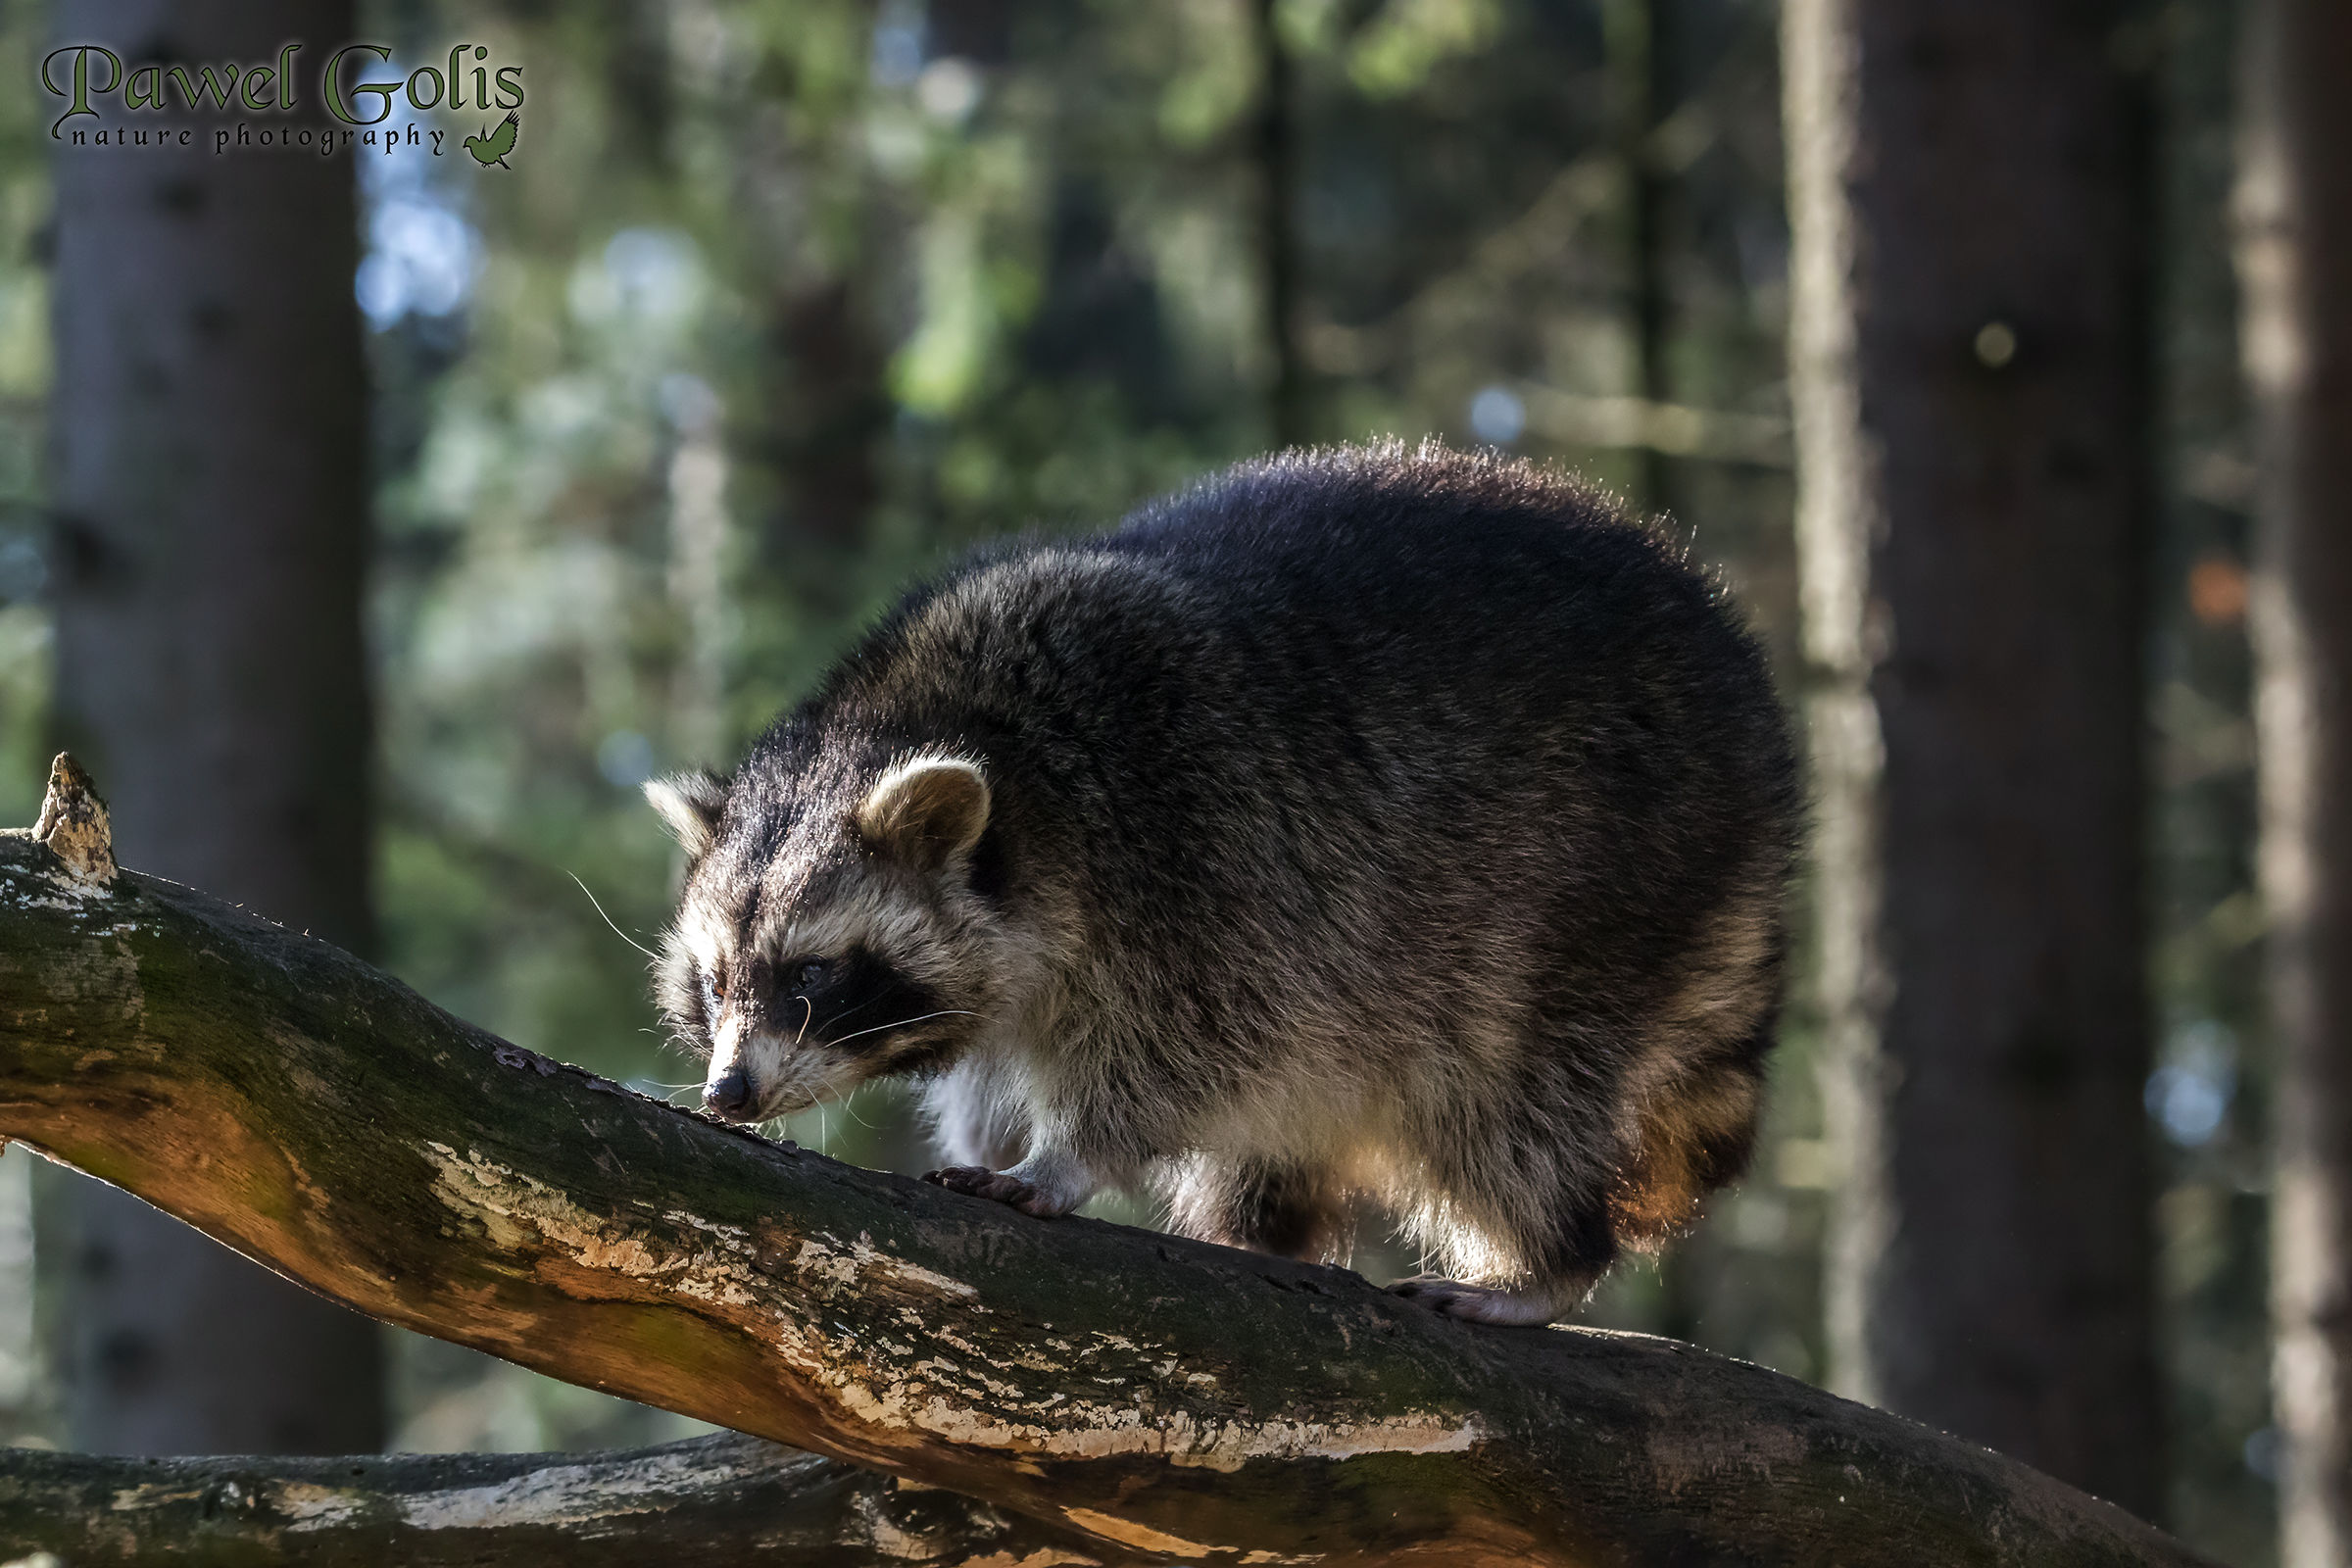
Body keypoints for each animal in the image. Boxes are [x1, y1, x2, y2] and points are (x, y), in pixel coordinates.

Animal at [646, 441, 1799, 1325]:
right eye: (715, 983)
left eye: (813, 975)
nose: (728, 1092)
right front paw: (991, 1125)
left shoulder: (1206, 859)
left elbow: (1183, 1056)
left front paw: (1064, 1155)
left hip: (1612, 869)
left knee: (1507, 1088)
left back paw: (1548, 1257)